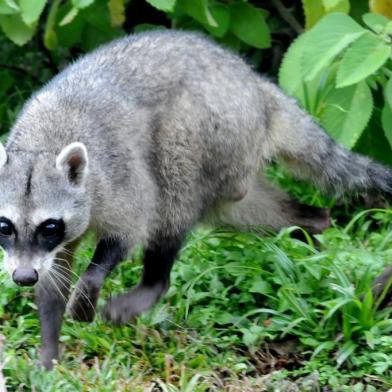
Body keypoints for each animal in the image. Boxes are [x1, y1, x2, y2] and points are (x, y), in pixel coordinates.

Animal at [0, 29, 392, 368]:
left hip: (212, 127)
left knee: (174, 193)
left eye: (49, 226)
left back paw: (153, 283)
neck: (42, 143)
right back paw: (310, 222)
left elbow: (130, 228)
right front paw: (49, 349)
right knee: (247, 207)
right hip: (235, 159)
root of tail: (257, 85)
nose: (22, 277)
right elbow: (53, 277)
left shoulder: (116, 181)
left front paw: (89, 285)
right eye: (5, 226)